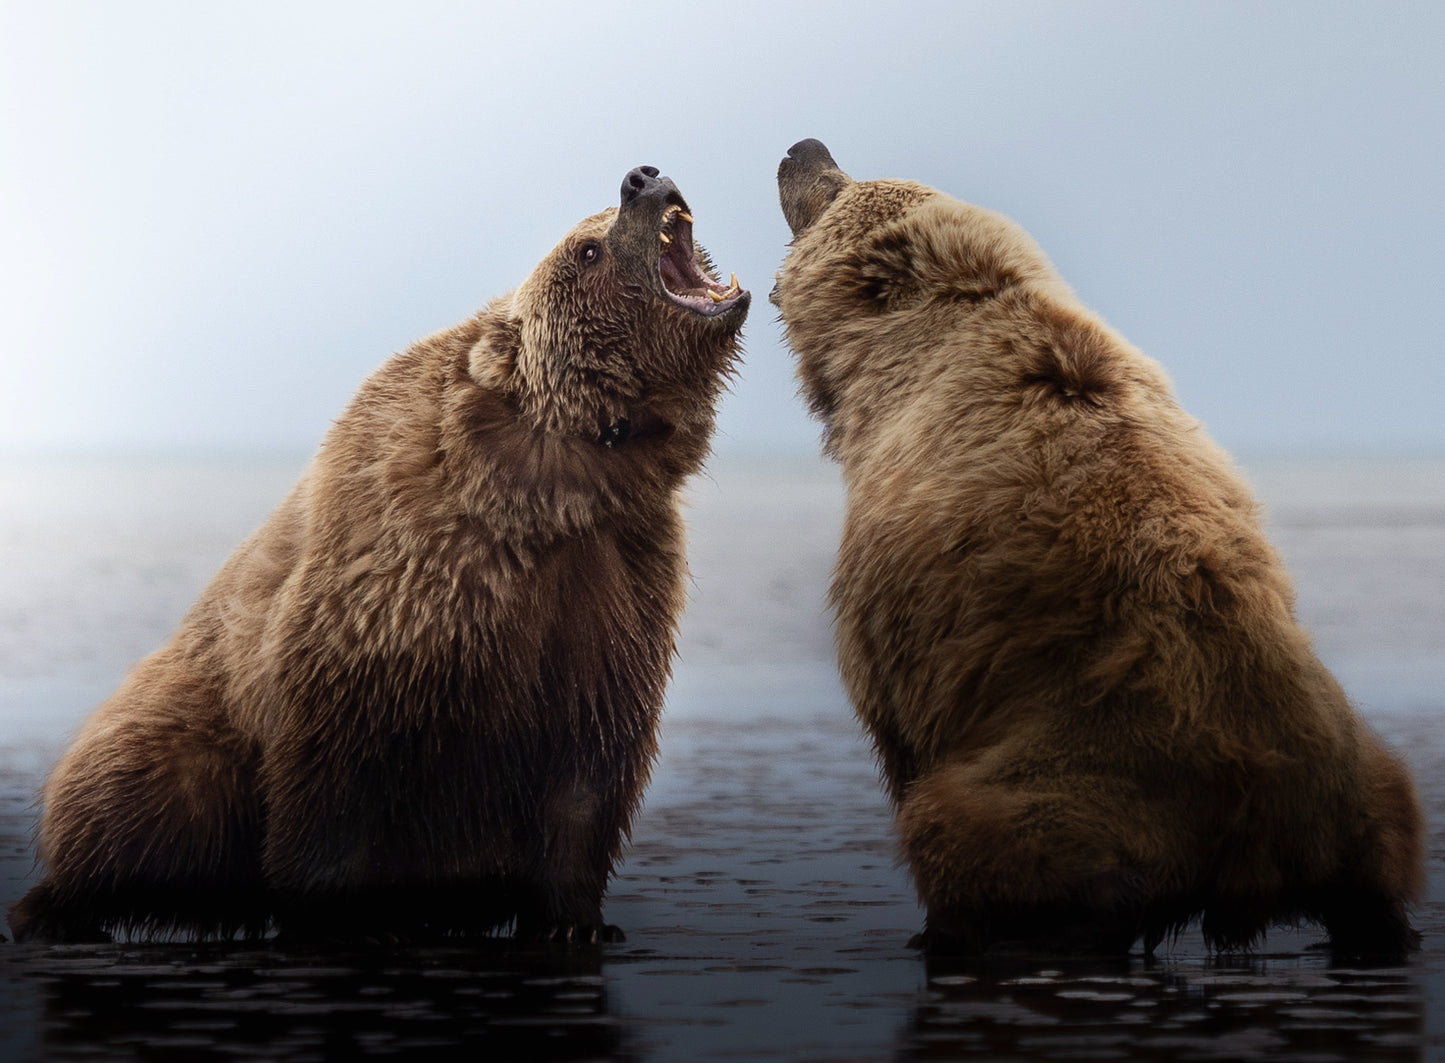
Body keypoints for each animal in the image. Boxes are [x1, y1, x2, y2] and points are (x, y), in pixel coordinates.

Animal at [7, 164, 749, 945]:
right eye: (587, 248)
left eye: (596, 225)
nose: (642, 178)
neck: (546, 487)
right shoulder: (387, 600)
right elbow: (336, 779)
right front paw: (343, 915)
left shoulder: (611, 584)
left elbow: (587, 768)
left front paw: (576, 920)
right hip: (192, 733)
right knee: (141, 784)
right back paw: (61, 902)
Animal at [772, 138, 1422, 959]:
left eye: (835, 188)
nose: (803, 148)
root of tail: (1254, 839)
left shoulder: (897, 589)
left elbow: (894, 720)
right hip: (1361, 790)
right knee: (1379, 880)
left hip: (1084, 779)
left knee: (976, 837)